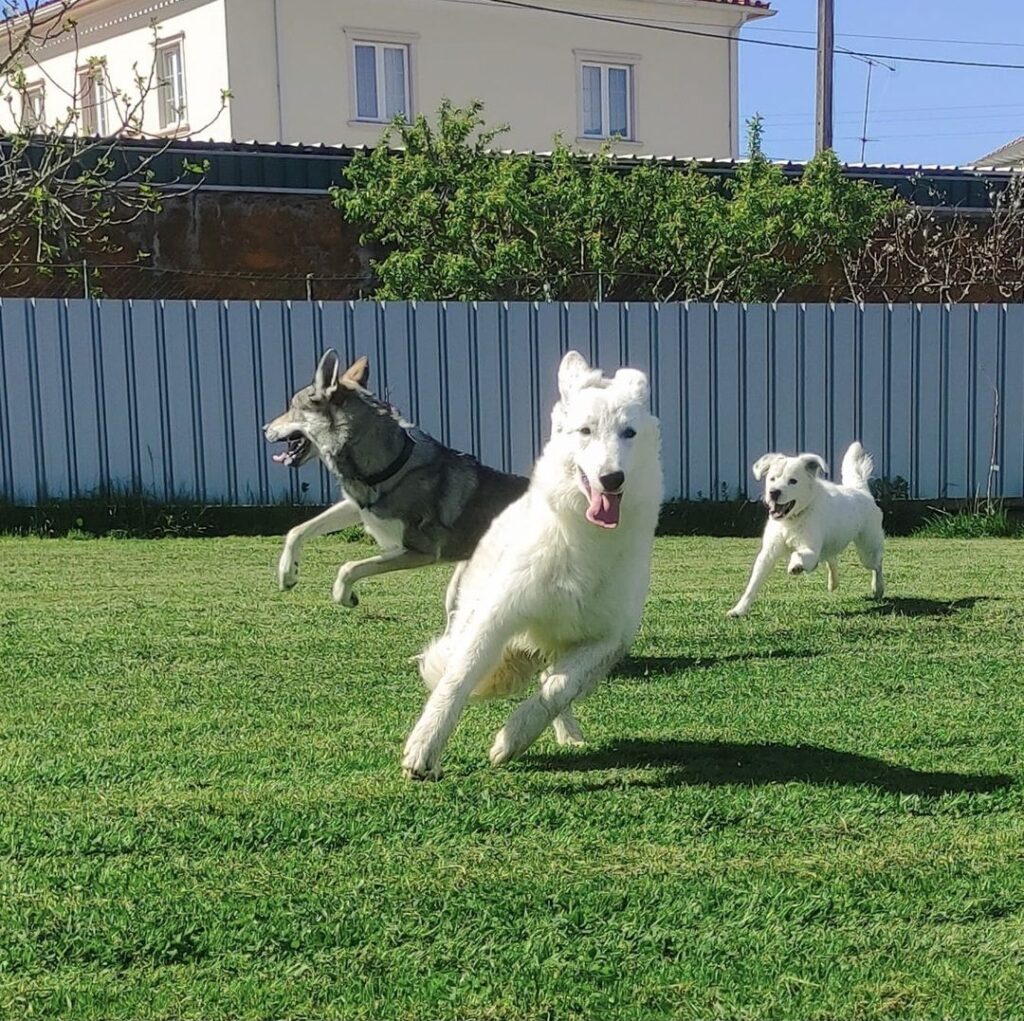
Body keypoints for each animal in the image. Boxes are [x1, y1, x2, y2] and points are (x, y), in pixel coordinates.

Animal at [399, 350, 663, 782]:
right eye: (585, 431)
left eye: (629, 433)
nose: (612, 478)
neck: (582, 540)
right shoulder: (496, 618)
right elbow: (457, 680)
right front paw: (424, 748)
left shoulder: (606, 641)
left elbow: (557, 689)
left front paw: (512, 738)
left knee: (551, 683)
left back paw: (567, 733)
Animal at [724, 440, 884, 618]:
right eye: (772, 479)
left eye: (793, 481)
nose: (773, 492)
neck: (792, 520)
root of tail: (861, 490)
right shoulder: (767, 555)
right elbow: (752, 585)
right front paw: (739, 610)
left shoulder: (810, 548)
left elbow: (800, 554)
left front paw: (796, 565)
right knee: (832, 559)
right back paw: (833, 582)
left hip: (867, 552)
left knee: (877, 565)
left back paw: (878, 588)